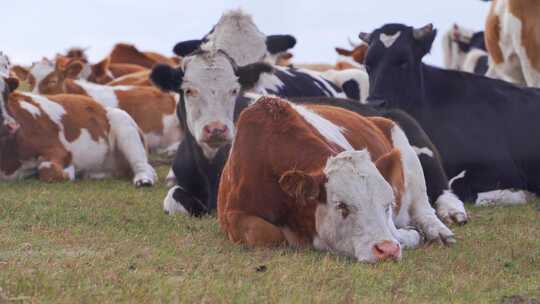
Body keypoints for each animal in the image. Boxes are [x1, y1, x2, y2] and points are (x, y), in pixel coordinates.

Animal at [0, 75, 156, 186]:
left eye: (6, 95)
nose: (12, 126)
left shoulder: (57, 148)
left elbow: (47, 170)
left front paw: (69, 171)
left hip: (124, 125)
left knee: (143, 165)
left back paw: (143, 180)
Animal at [150, 50, 466, 223]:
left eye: (234, 89)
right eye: (188, 90)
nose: (216, 129)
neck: (212, 172)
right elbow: (172, 200)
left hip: (422, 154)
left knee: (442, 190)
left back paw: (453, 212)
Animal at [217, 96, 454, 262]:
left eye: (387, 205)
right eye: (341, 205)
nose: (386, 250)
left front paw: (407, 238)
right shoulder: (232, 214)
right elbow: (264, 233)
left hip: (408, 153)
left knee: (424, 209)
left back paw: (439, 230)